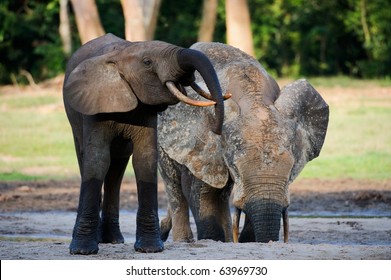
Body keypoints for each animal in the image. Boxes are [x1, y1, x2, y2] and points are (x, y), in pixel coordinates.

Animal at [62, 32, 225, 254]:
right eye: (147, 62)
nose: (216, 129)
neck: (120, 54)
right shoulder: (94, 106)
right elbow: (97, 160)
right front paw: (82, 251)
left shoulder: (145, 109)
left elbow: (145, 159)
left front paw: (150, 249)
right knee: (89, 158)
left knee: (117, 167)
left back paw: (113, 240)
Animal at [158, 41, 330, 243]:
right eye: (236, 167)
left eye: (290, 171)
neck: (253, 99)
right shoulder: (202, 148)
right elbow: (203, 194)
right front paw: (213, 240)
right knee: (174, 185)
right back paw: (182, 240)